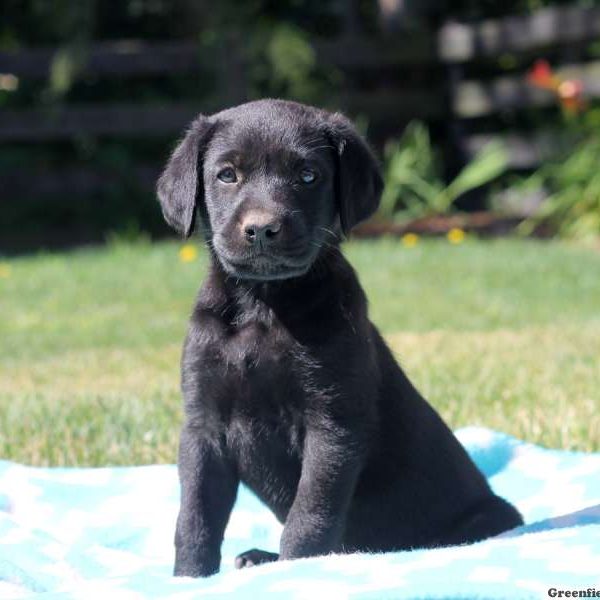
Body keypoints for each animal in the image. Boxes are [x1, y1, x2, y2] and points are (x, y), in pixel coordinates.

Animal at [157, 98, 524, 576]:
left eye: (308, 175)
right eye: (227, 174)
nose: (262, 229)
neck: (265, 306)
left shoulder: (333, 424)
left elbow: (311, 511)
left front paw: (295, 569)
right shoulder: (204, 425)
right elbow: (196, 514)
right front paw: (190, 578)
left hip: (484, 517)